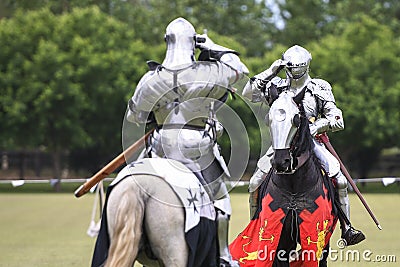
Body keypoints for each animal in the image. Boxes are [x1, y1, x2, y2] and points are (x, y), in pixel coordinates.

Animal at [231, 88, 338, 267]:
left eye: (296, 119)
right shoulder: (280, 239)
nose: (281, 162)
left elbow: (335, 117)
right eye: (268, 120)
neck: (294, 188)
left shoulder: (318, 239)